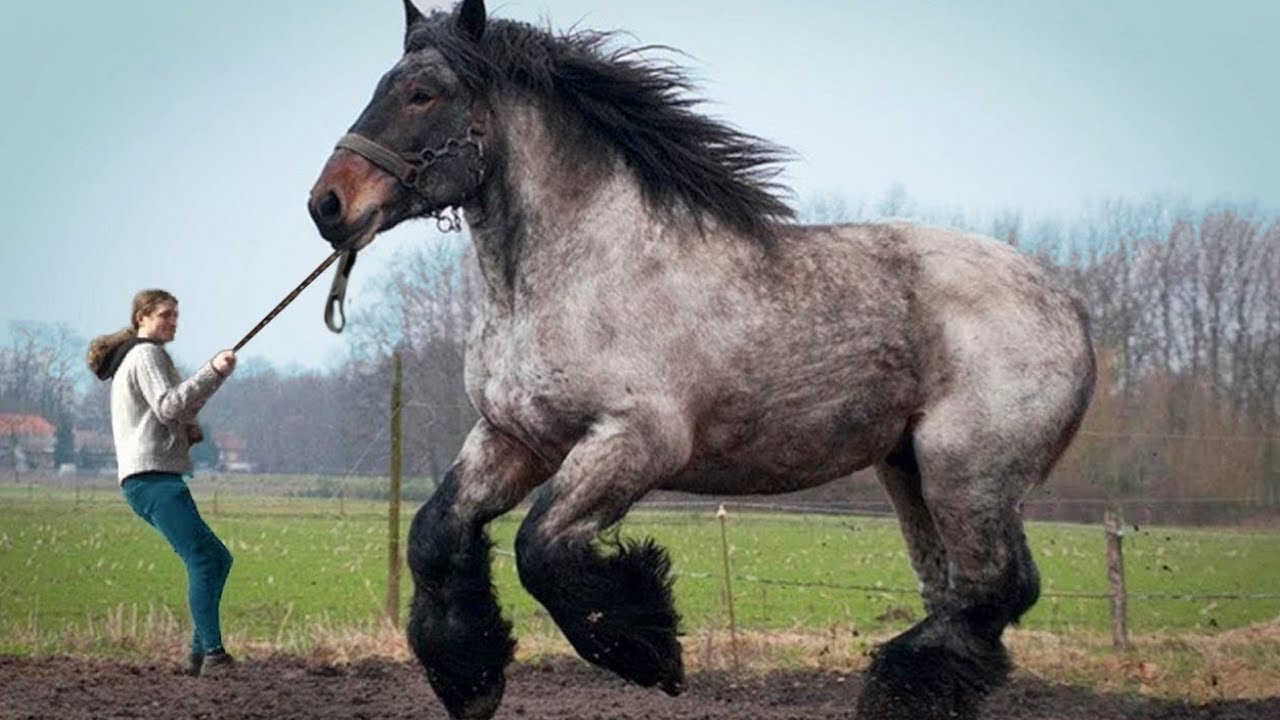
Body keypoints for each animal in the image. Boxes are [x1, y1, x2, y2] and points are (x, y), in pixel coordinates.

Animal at [307, 1, 1097, 718]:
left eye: (422, 93)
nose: (328, 205)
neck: (580, 269)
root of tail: (1067, 305)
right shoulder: (513, 437)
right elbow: (435, 533)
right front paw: (471, 679)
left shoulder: (636, 440)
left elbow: (542, 547)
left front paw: (651, 652)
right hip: (909, 471)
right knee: (959, 594)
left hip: (968, 473)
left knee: (994, 591)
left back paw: (892, 689)